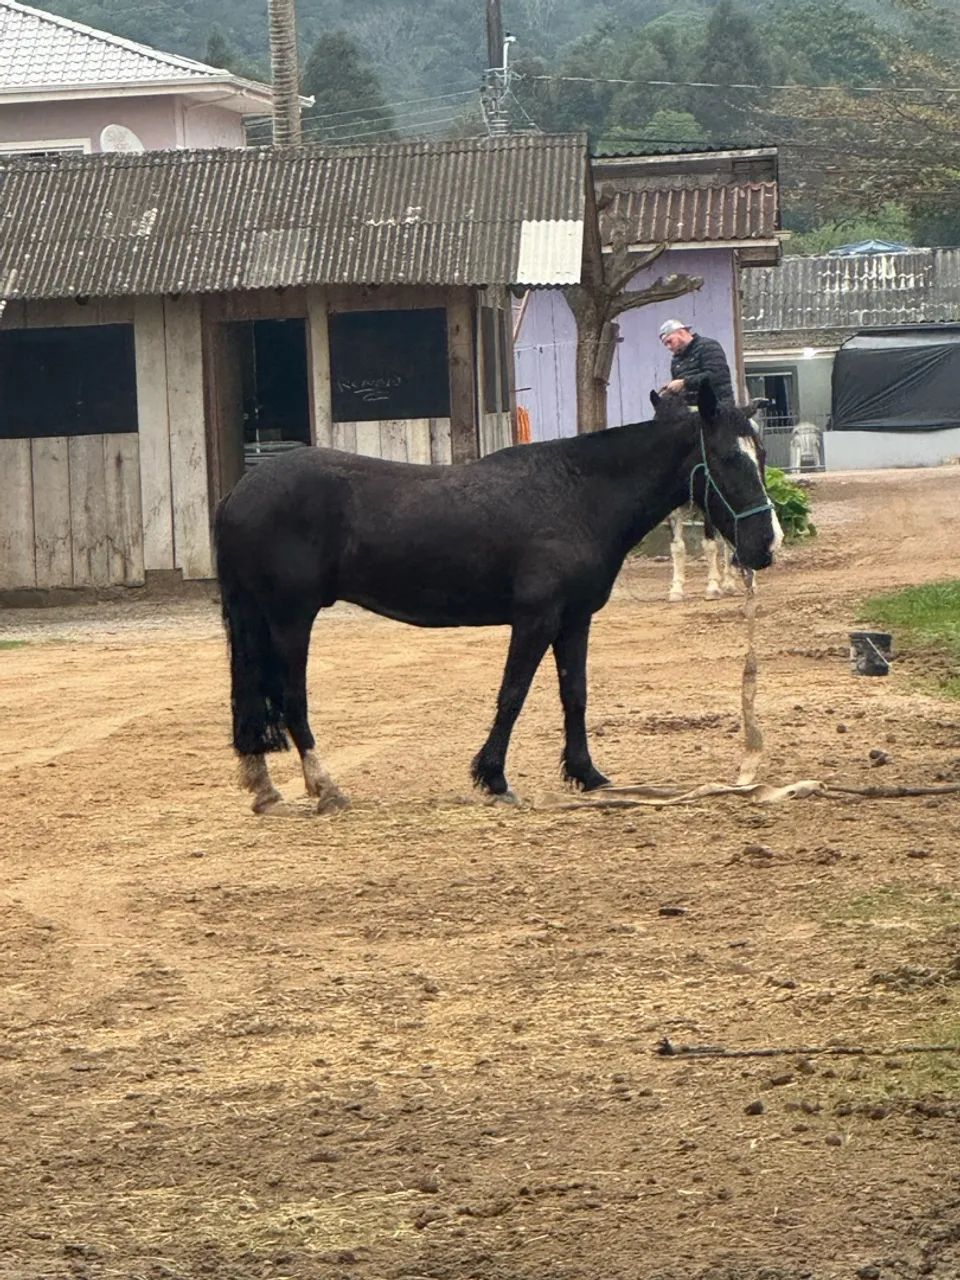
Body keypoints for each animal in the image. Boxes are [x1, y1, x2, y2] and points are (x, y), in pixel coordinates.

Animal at [650, 390, 769, 603]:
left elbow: (710, 545)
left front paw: (713, 586)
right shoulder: (674, 511)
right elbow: (677, 547)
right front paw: (676, 589)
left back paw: (744, 583)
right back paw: (730, 583)